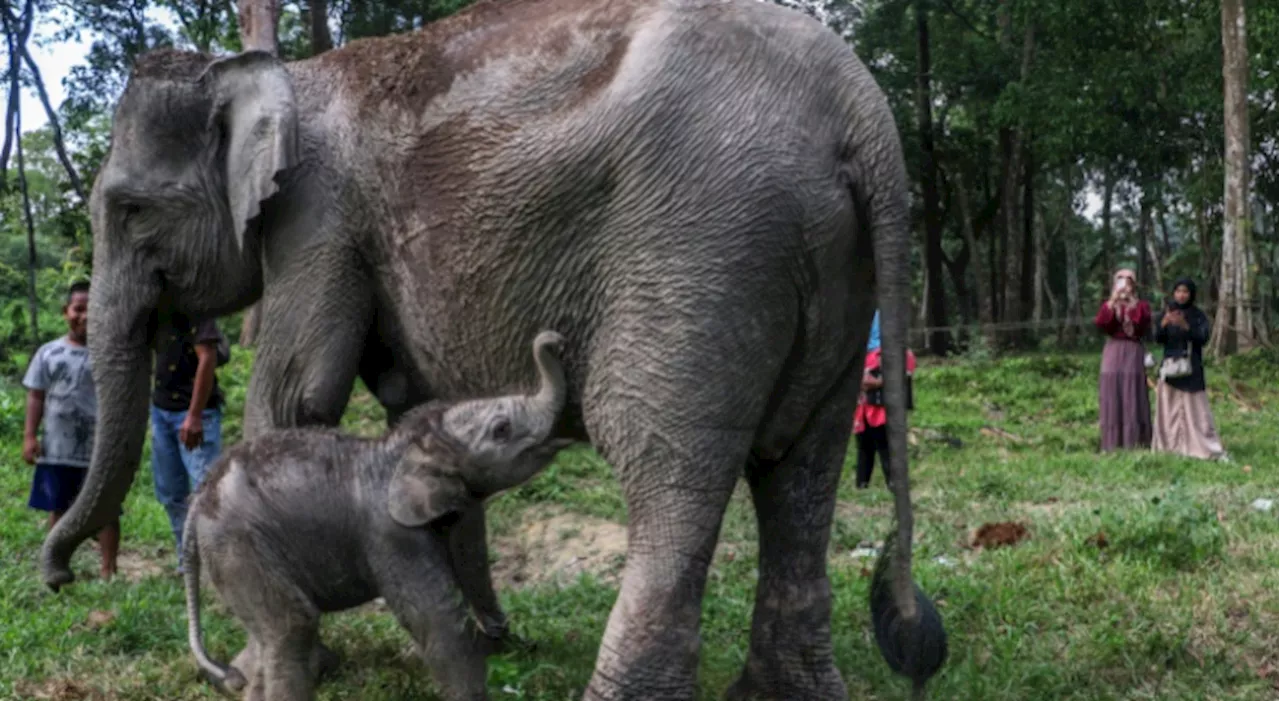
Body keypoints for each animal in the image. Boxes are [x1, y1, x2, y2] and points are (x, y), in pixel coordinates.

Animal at [185, 332, 570, 695]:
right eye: (502, 429)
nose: (556, 340)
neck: (406, 446)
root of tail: (198, 499)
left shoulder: (458, 506)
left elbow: (473, 565)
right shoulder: (391, 534)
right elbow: (441, 620)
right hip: (239, 547)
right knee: (292, 627)